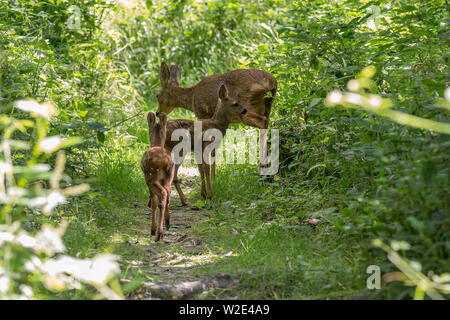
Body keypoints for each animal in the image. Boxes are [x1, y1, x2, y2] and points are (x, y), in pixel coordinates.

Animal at [141, 112, 174, 240]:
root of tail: (162, 160)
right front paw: (167, 222)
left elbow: (153, 203)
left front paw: (152, 230)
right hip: (168, 177)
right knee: (168, 194)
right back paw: (167, 224)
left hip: (150, 177)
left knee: (162, 195)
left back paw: (158, 233)